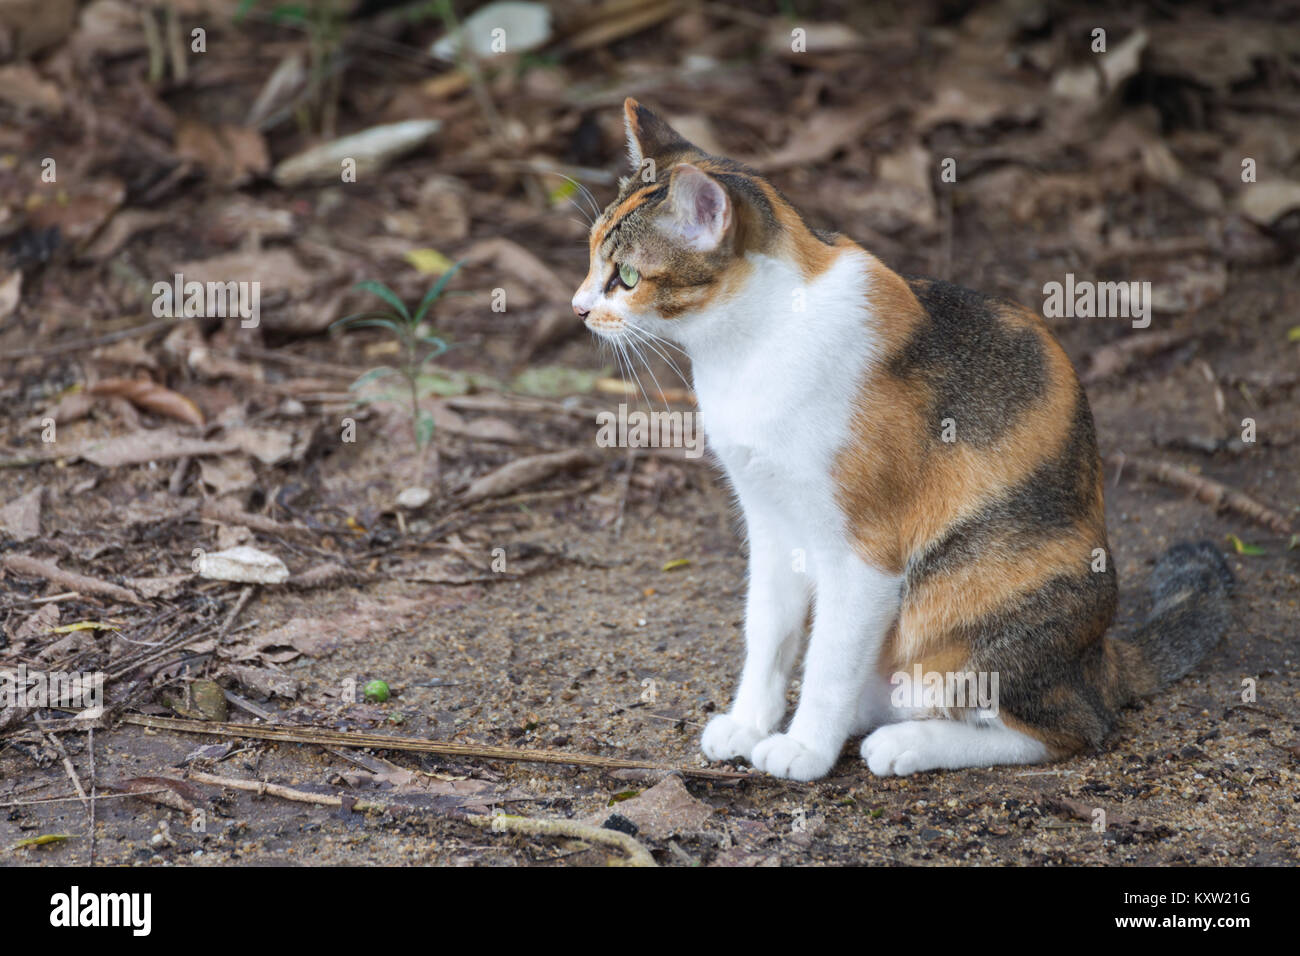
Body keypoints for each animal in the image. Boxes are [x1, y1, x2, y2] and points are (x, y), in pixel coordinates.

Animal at [574, 98, 1232, 780]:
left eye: (627, 276)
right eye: (592, 258)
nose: (578, 307)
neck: (751, 345)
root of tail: (1100, 657)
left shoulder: (866, 553)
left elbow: (828, 664)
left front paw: (805, 748)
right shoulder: (771, 523)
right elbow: (769, 634)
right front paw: (751, 723)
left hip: (970, 596)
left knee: (1070, 725)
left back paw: (907, 742)